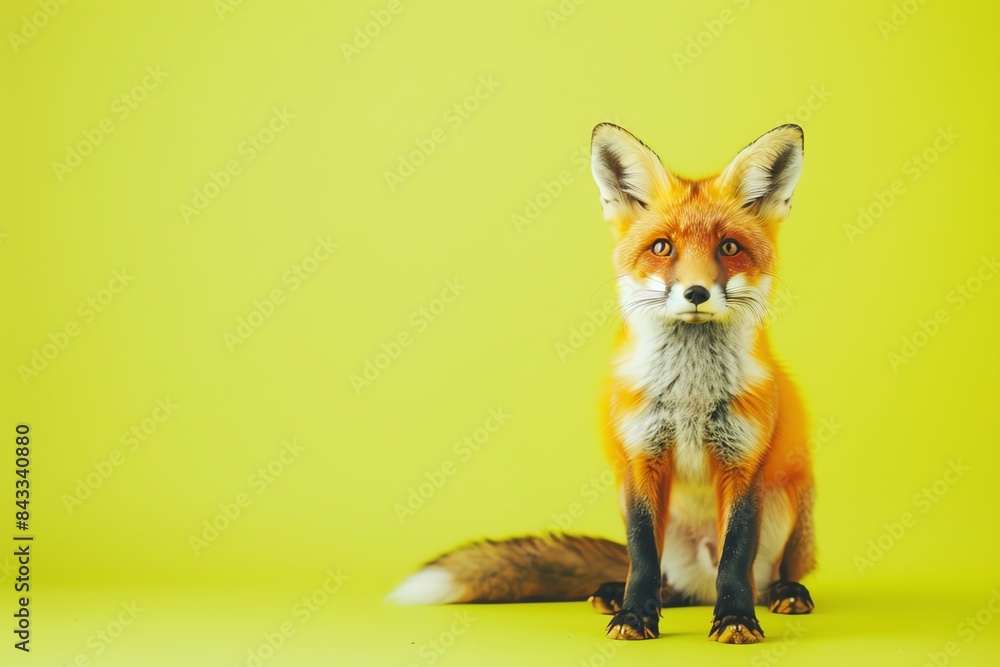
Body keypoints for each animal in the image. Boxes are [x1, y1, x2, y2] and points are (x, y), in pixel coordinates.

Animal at [388, 123, 815, 644]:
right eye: (662, 248)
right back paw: (621, 593)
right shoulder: (641, 458)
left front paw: (736, 619)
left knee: (762, 576)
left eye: (729, 248)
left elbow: (735, 558)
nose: (696, 292)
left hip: (788, 503)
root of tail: (696, 586)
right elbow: (641, 555)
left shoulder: (744, 462)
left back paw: (784, 593)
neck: (690, 400)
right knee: (658, 577)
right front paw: (634, 616)